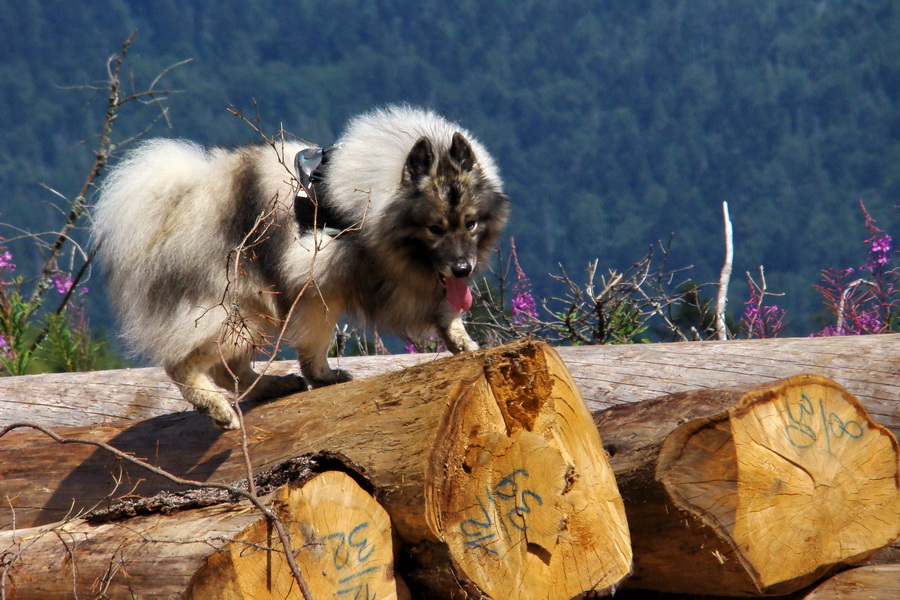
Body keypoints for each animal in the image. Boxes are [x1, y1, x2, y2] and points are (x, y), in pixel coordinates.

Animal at [97, 105, 510, 428]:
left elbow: (447, 313)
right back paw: (216, 408)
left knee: (229, 369)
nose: (463, 268)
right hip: (241, 307)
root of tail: (179, 200)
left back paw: (271, 386)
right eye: (434, 228)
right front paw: (323, 376)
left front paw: (463, 342)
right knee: (183, 364)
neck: (369, 206)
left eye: (471, 223)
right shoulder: (317, 284)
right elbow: (315, 342)